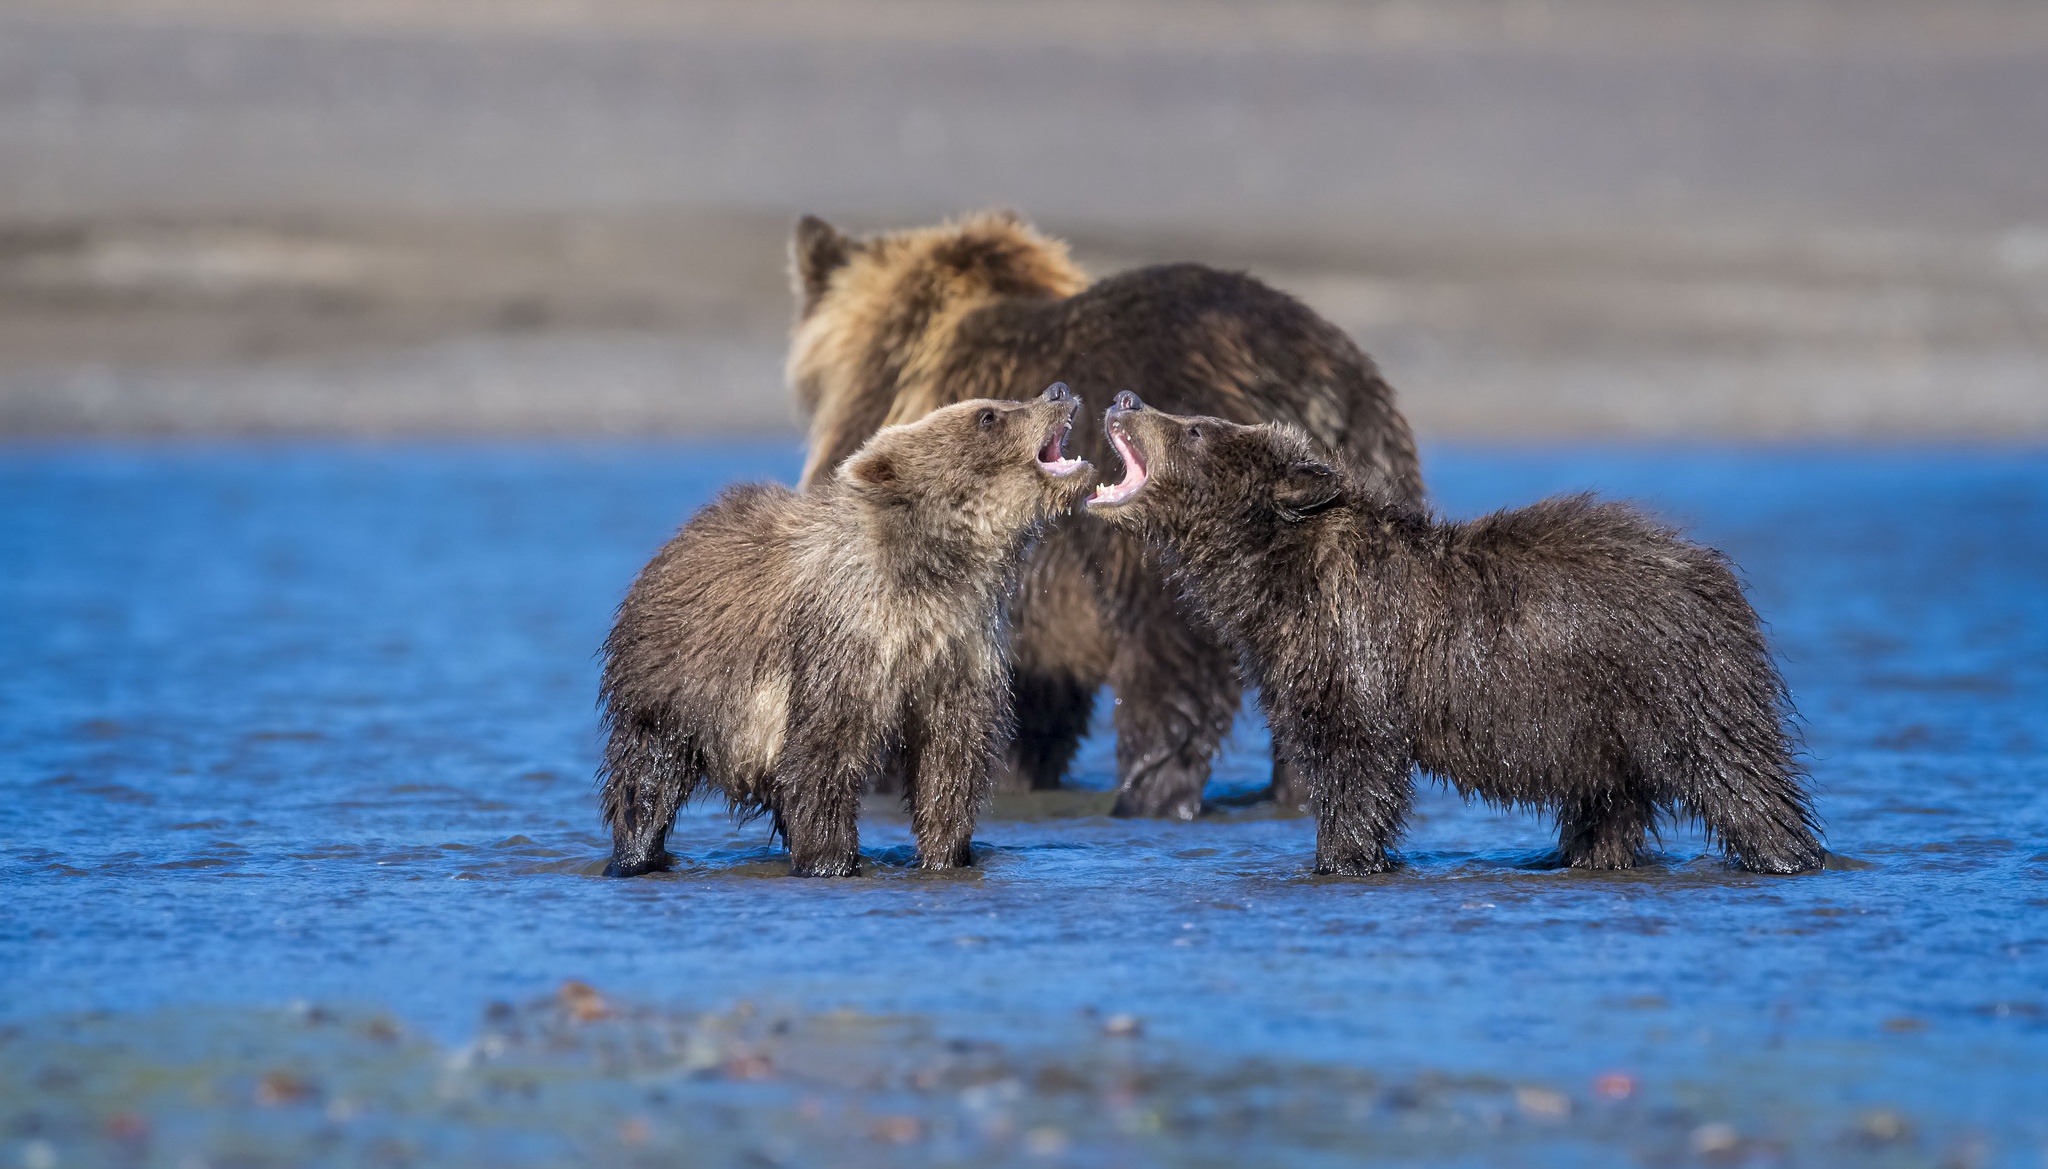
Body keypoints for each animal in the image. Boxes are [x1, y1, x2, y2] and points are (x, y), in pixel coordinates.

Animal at [598, 383, 1093, 878]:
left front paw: (945, 853)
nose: (1058, 391)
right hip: (675, 682)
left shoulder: (960, 643)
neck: (930, 573)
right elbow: (824, 754)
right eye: (988, 416)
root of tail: (674, 542)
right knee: (648, 776)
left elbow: (950, 756)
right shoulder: (847, 636)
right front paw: (831, 861)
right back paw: (636, 855)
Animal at [1085, 391, 1825, 876]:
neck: (1275, 577)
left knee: (1739, 778)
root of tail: (1712, 572)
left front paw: (1340, 858)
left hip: (1674, 681)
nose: (1125, 398)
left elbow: (1356, 764)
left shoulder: (1356, 645)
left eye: (1195, 430)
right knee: (1610, 806)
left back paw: (1791, 856)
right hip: (1603, 724)